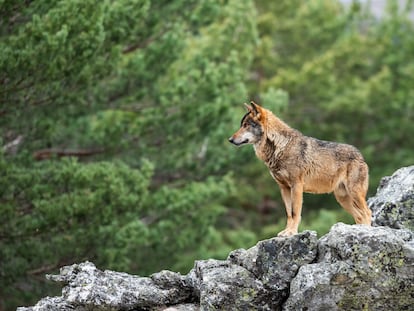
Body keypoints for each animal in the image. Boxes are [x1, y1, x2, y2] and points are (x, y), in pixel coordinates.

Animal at [230, 102, 372, 236]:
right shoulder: (284, 188)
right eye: (241, 125)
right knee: (359, 215)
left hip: (354, 193)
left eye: (246, 125)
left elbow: (295, 212)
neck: (281, 146)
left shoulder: (296, 185)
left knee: (367, 212)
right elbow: (288, 213)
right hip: (342, 198)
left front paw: (291, 232)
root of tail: (360, 156)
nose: (230, 139)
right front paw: (286, 232)